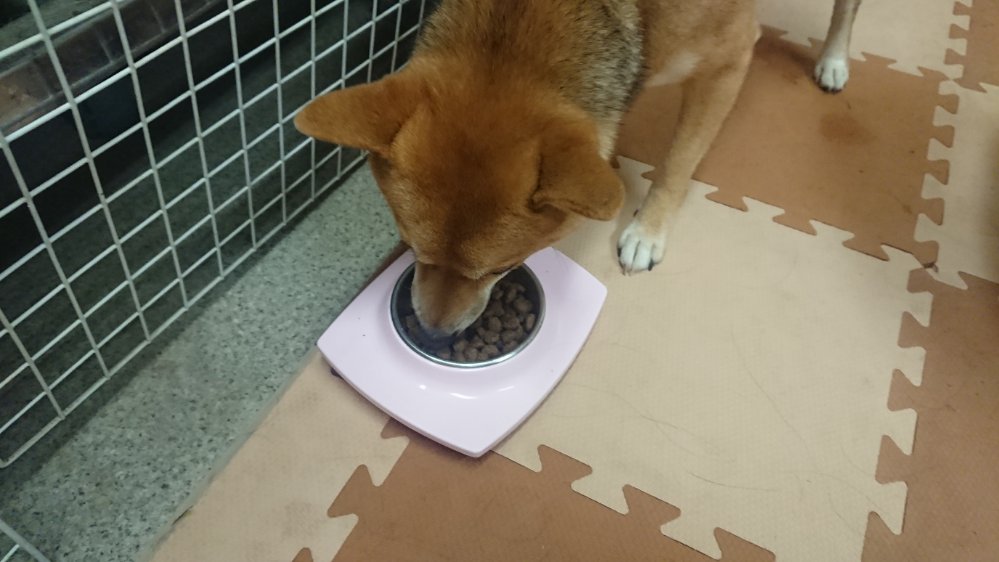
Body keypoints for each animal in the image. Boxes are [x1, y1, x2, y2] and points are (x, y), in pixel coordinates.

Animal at [295, 0, 862, 338]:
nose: (434, 333)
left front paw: (647, 232)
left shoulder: (728, 59)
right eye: (410, 248)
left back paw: (835, 61)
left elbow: (678, 161)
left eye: (501, 268)